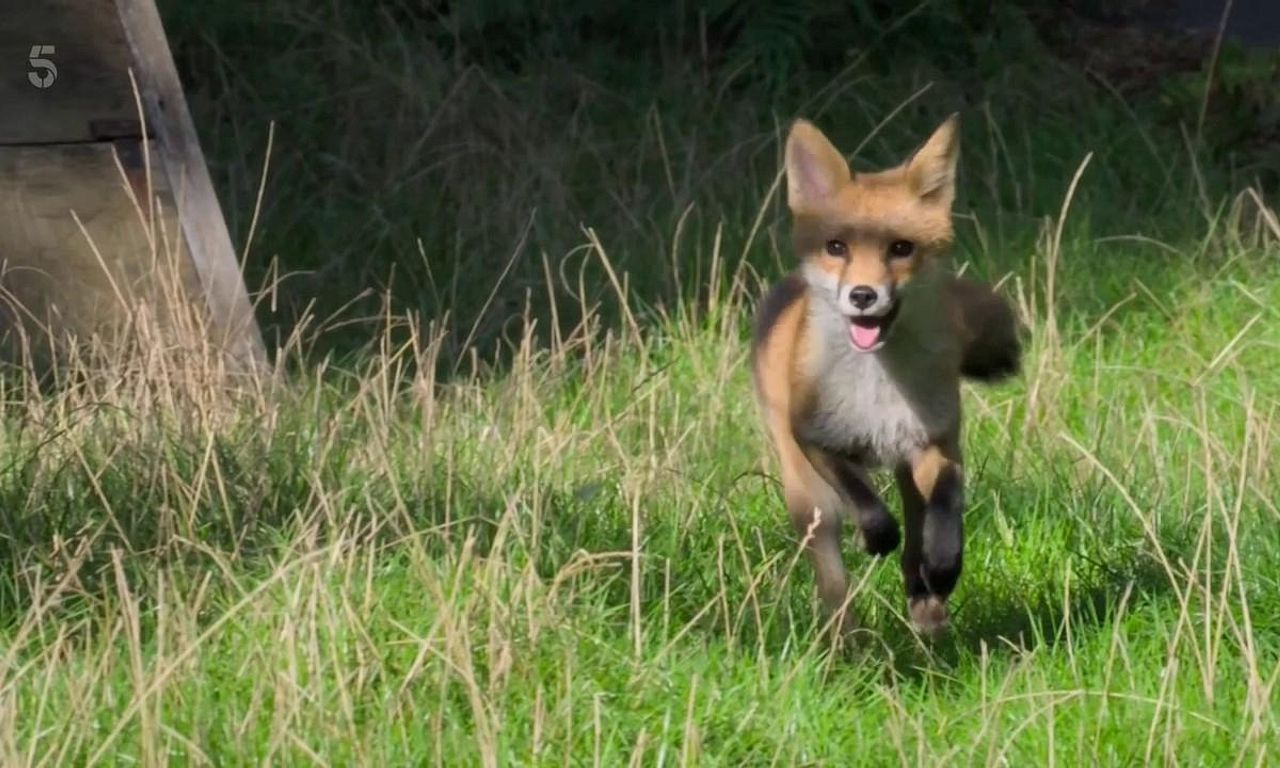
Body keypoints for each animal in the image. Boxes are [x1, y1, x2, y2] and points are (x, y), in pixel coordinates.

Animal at [751, 114, 1020, 638]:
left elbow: (947, 501)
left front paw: (943, 566)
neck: (876, 391)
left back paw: (926, 599)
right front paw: (875, 536)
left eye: (901, 249)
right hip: (805, 495)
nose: (862, 295)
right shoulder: (815, 437)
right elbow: (863, 499)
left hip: (904, 468)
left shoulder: (934, 442)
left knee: (917, 532)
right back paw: (847, 636)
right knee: (833, 568)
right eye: (836, 247)